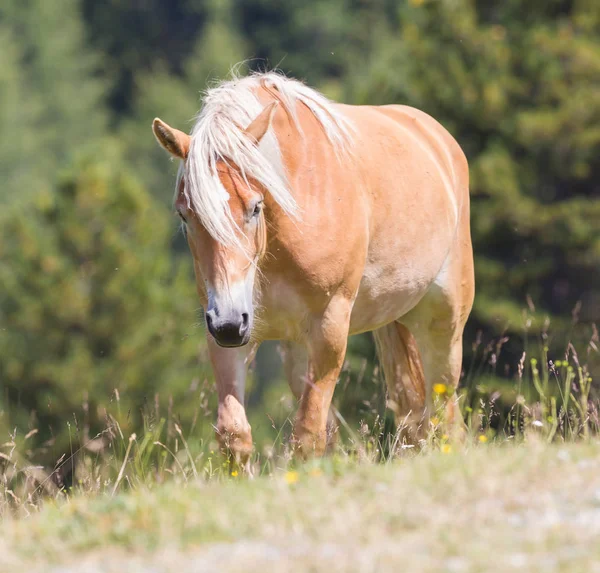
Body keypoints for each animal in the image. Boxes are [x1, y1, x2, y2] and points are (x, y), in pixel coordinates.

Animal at [151, 71, 474, 462]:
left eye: (255, 207)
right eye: (186, 215)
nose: (228, 324)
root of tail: (437, 139)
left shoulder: (329, 328)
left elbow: (307, 436)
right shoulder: (230, 332)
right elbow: (234, 435)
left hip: (443, 325)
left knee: (445, 414)